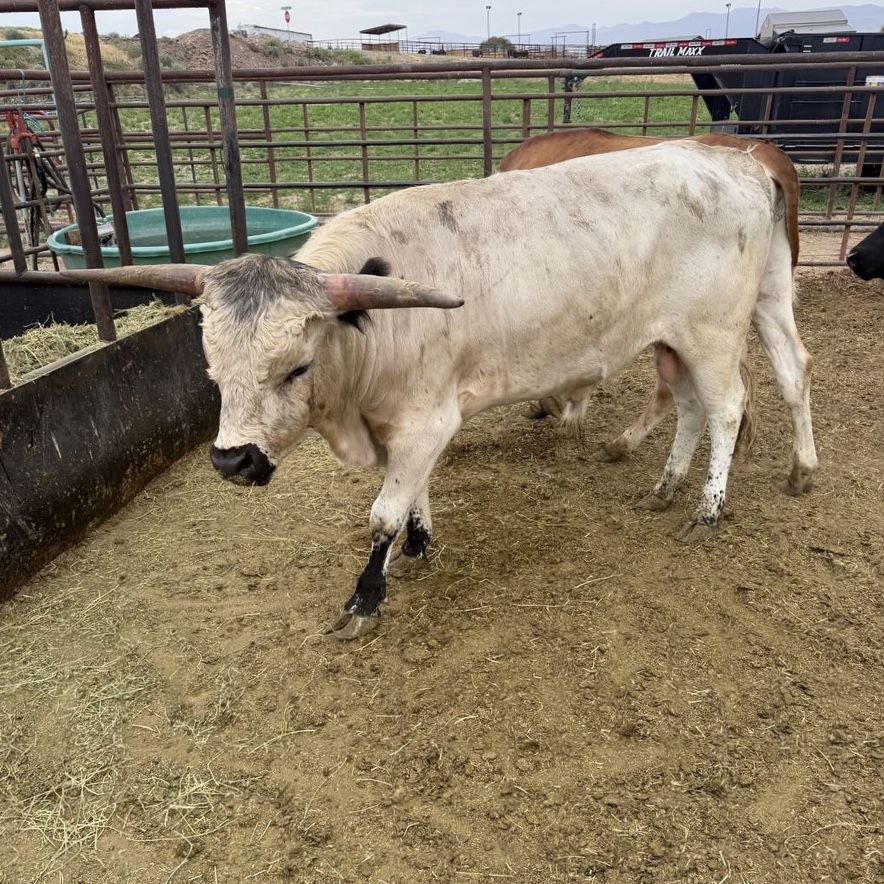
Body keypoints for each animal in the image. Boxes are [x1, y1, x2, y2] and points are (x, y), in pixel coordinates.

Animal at [500, 127, 808, 466]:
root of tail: (766, 154)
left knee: (672, 390)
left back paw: (622, 444)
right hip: (768, 291)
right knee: (794, 364)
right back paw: (801, 464)